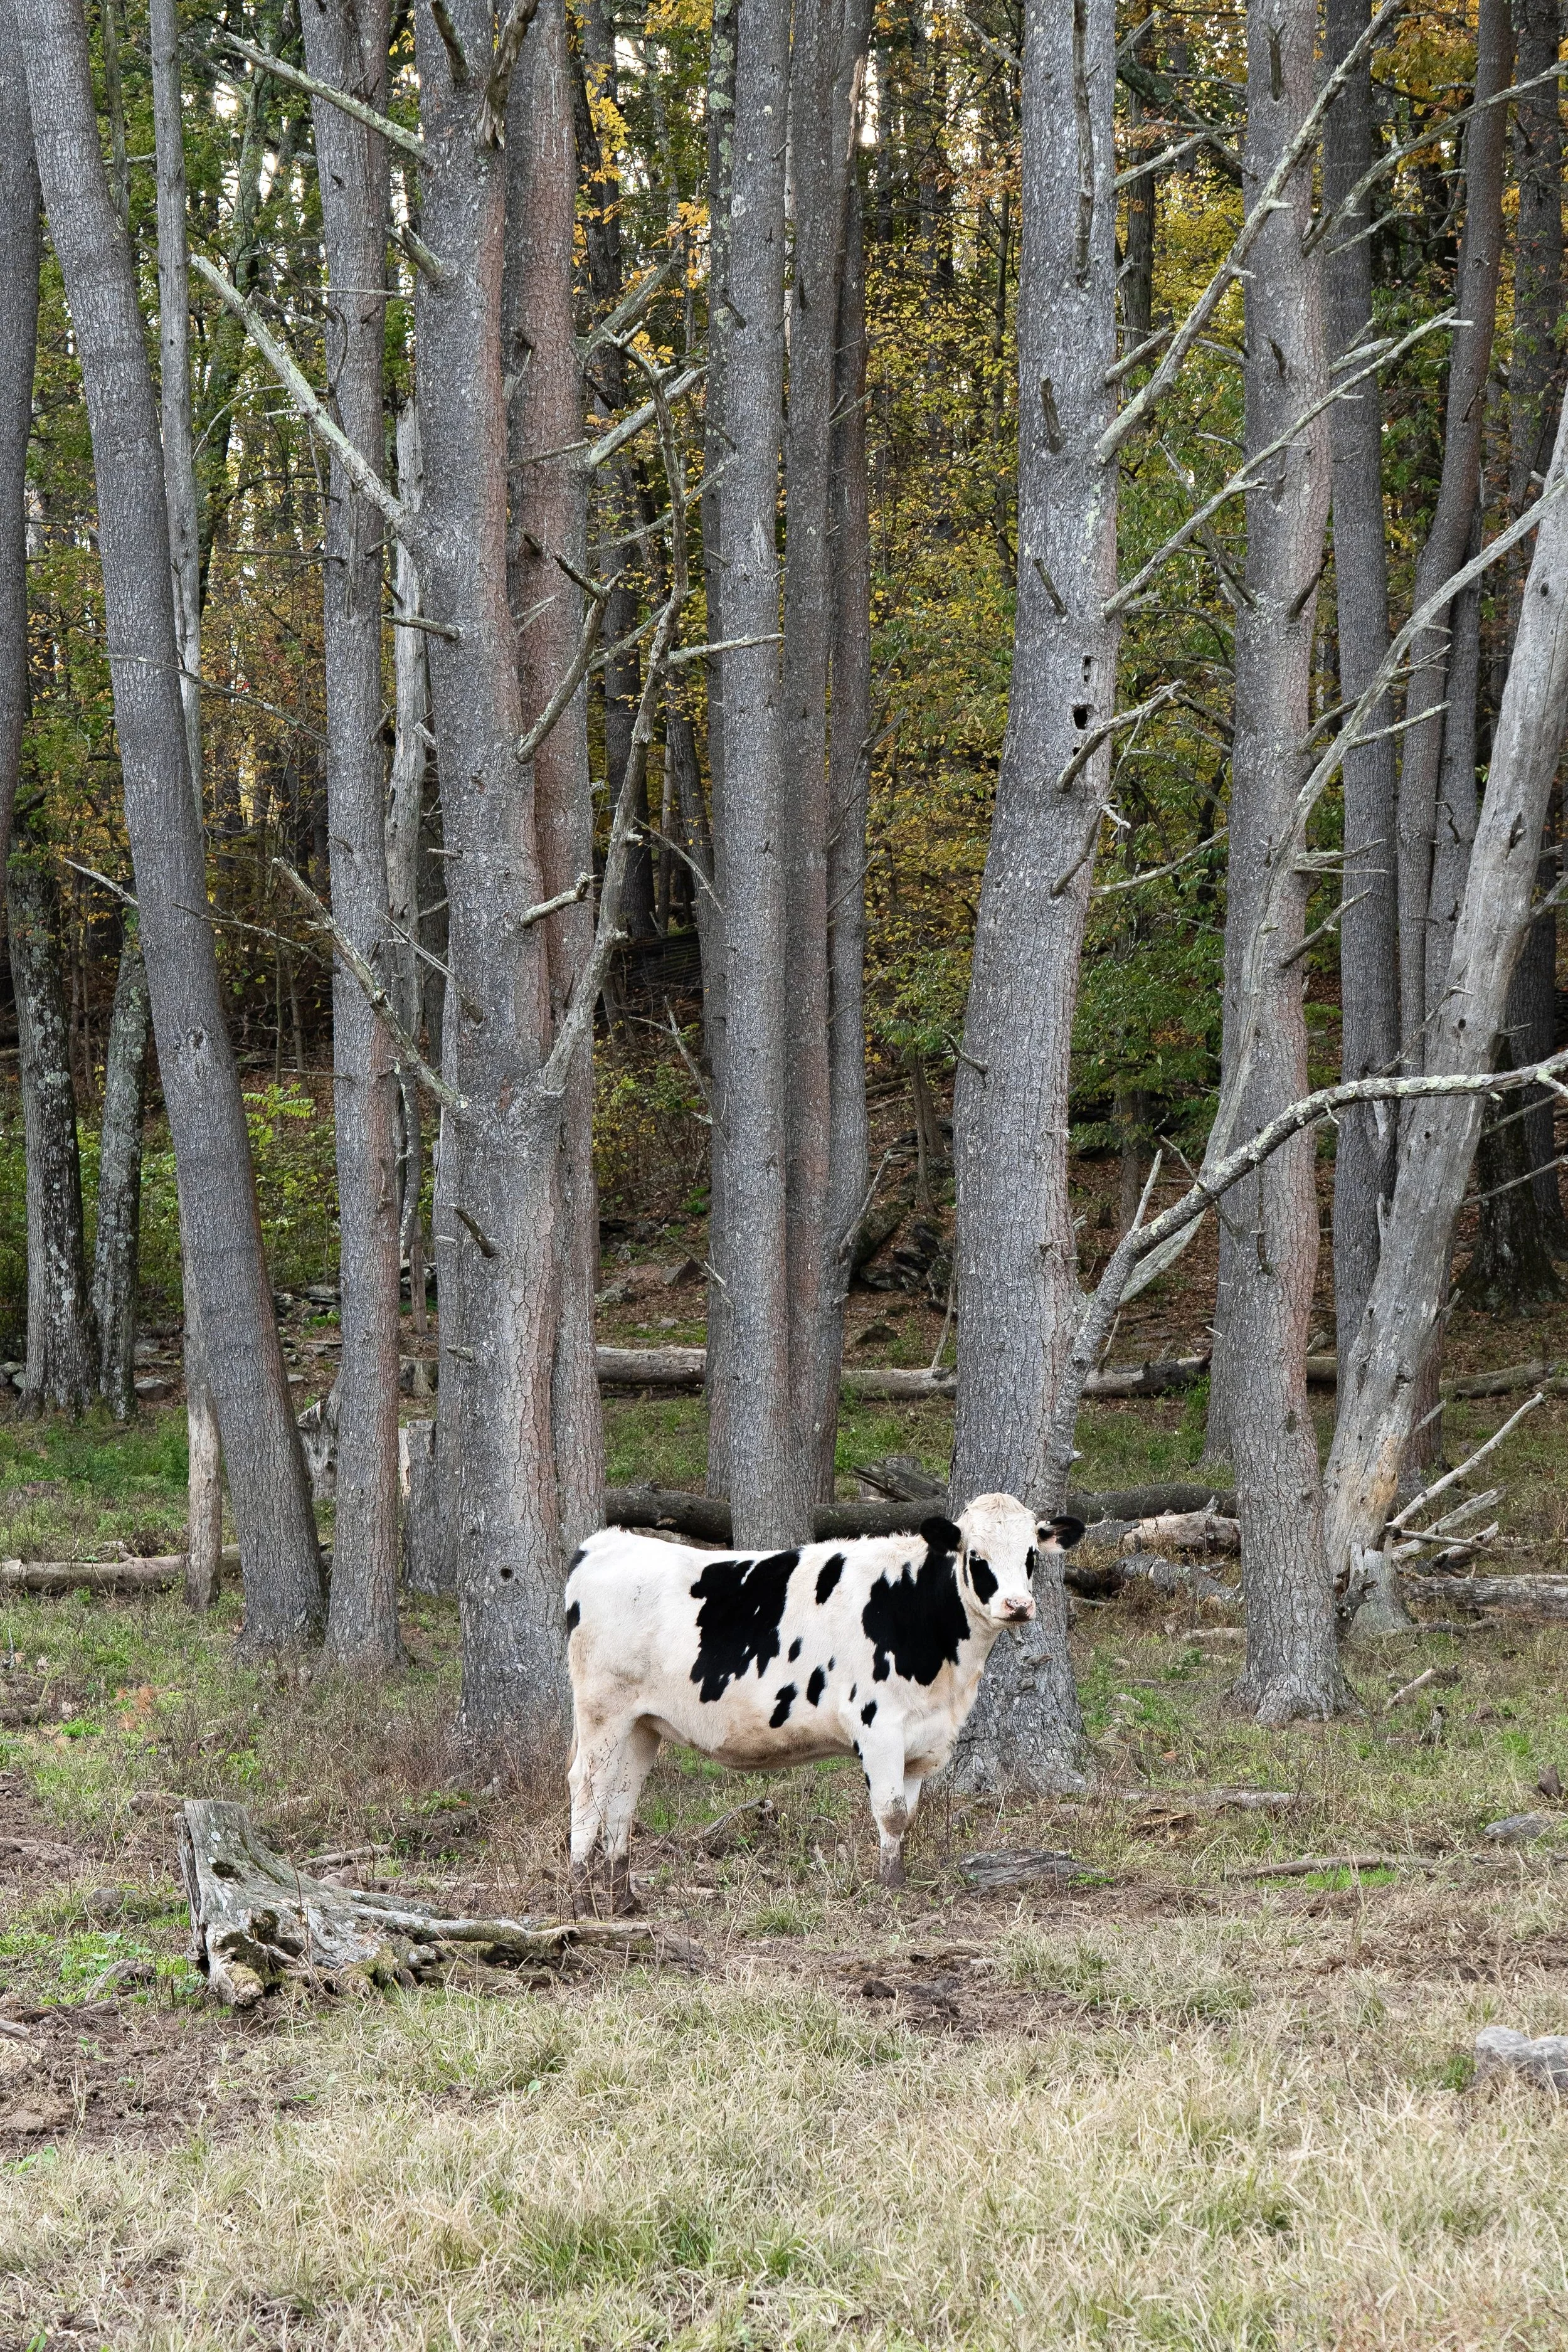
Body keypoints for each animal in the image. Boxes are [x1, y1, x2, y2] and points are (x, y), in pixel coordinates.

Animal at [564, 1493, 1085, 1910]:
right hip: (603, 1711)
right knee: (587, 1786)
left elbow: (908, 1814)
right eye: (975, 1555)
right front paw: (889, 1891)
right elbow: (891, 1811)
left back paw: (624, 1899)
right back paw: (581, 1900)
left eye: (1031, 1554)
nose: (1017, 1605)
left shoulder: (923, 1739)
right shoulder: (879, 1726)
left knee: (623, 1796)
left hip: (642, 1722)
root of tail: (606, 1543)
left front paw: (897, 1880)